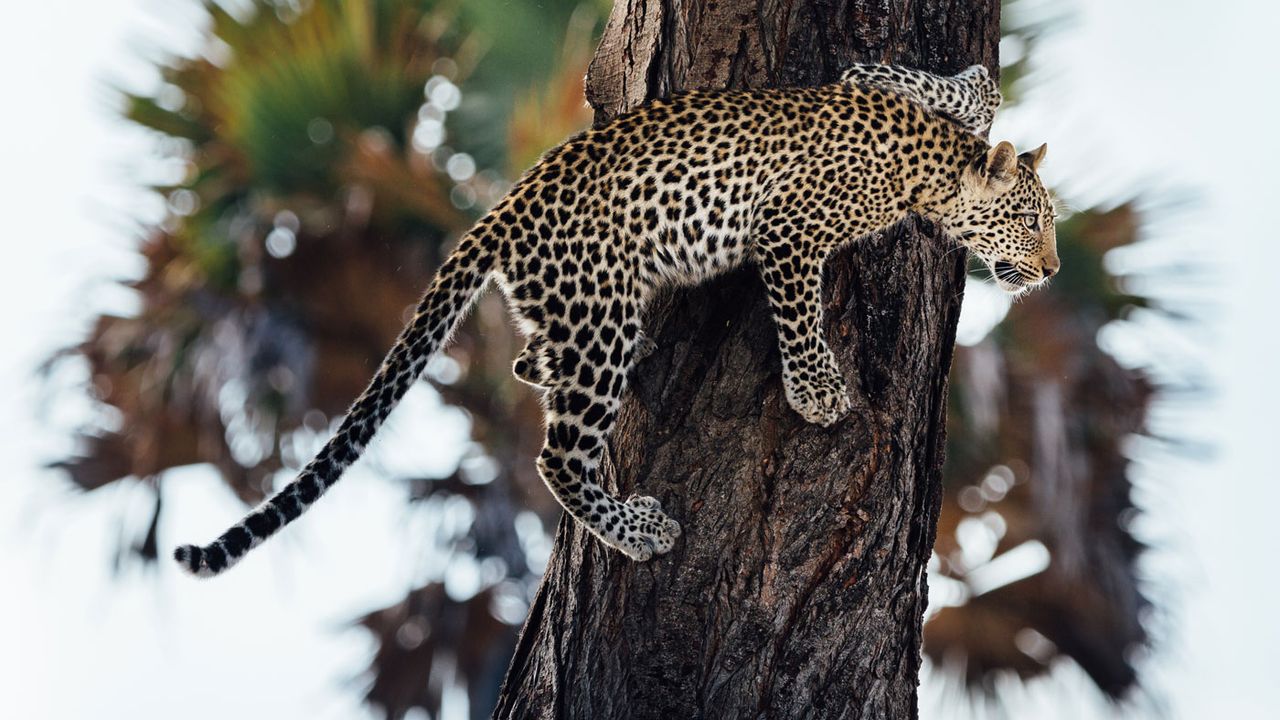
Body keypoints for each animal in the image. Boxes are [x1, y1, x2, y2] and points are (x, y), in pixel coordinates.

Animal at [173, 63, 1059, 576]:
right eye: (1030, 220)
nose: (1052, 270)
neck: (928, 165)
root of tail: (502, 212)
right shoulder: (788, 231)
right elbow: (800, 313)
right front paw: (817, 394)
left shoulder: (865, 78)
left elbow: (918, 77)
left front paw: (978, 81)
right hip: (596, 317)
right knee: (556, 458)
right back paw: (635, 529)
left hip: (577, 313)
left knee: (534, 368)